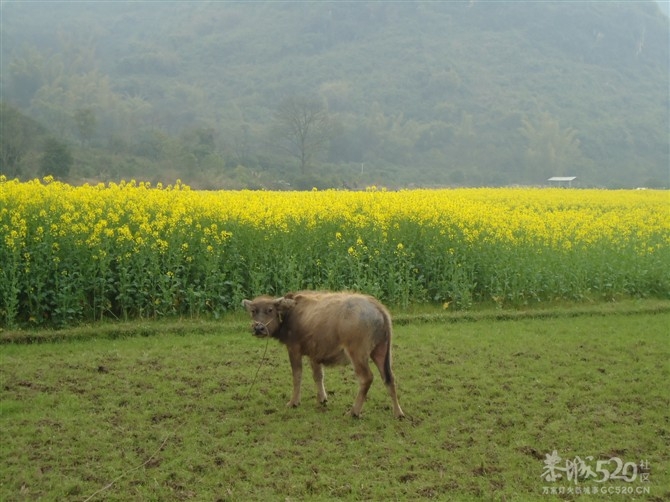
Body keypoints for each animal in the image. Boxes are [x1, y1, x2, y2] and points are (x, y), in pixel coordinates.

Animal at [242, 292, 404, 418]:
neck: (290, 315)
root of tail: (378, 308)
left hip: (357, 353)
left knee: (367, 378)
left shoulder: (294, 349)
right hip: (381, 350)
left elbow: (297, 376)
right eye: (253, 311)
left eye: (269, 310)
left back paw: (354, 411)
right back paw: (398, 412)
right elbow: (318, 376)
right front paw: (322, 399)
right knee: (389, 377)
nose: (258, 328)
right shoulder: (315, 354)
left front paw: (293, 402)